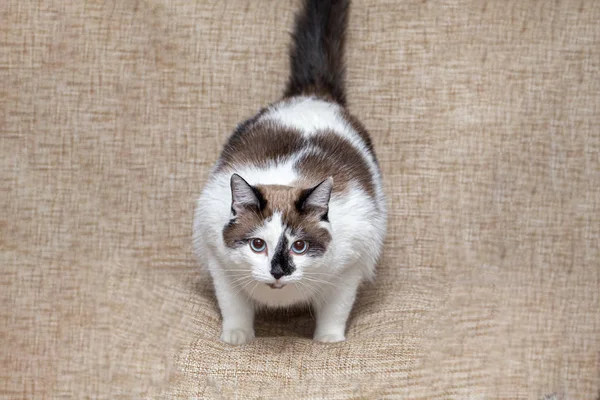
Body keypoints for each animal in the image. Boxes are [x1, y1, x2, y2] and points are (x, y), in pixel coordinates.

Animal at [195, 0, 386, 344]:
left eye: (300, 246)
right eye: (258, 244)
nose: (278, 271)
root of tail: (312, 95)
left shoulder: (348, 267)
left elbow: (335, 311)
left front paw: (328, 341)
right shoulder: (220, 261)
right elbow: (234, 306)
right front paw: (237, 337)